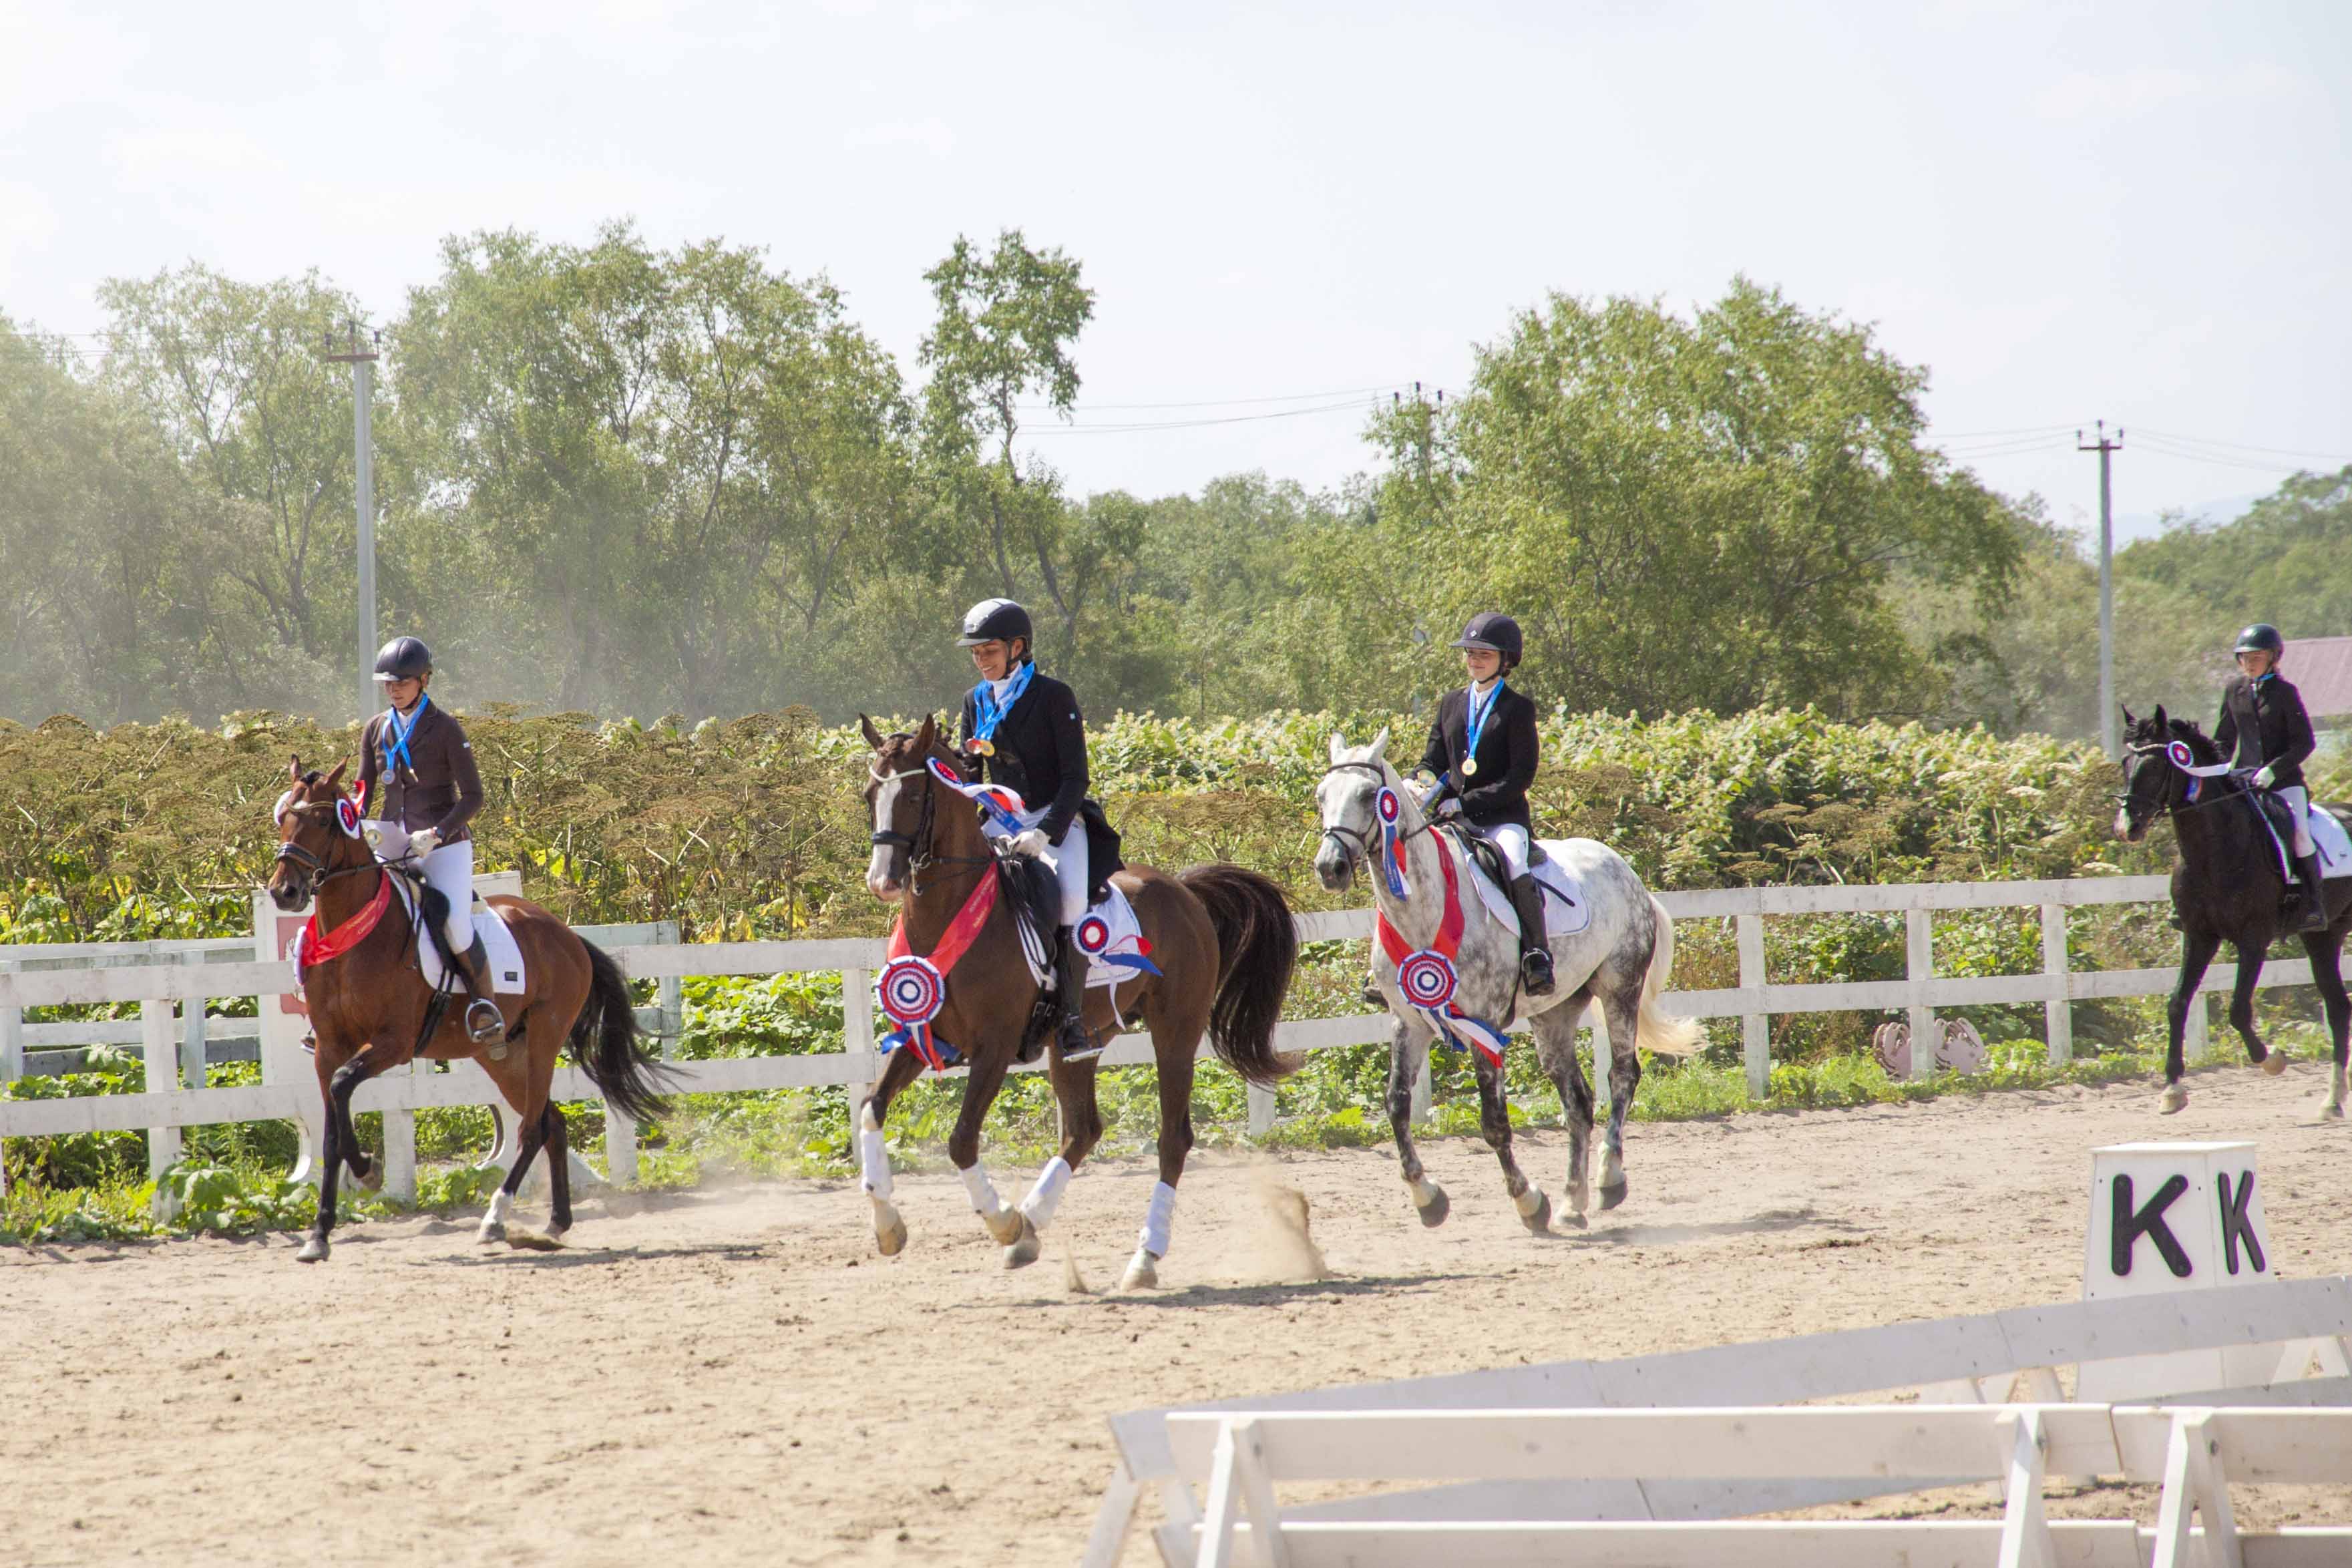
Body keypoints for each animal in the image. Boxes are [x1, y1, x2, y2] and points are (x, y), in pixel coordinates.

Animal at [268, 761, 677, 1259]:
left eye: (325, 819)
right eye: (283, 816)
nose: (284, 892)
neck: (354, 934)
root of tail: (568, 935)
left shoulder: (393, 1043)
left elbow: (345, 1086)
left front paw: (368, 1170)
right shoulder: (328, 1048)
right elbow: (331, 1131)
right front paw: (321, 1232)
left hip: (543, 1041)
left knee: (532, 1129)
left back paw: (496, 1219)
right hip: (501, 1055)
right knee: (553, 1122)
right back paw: (556, 1222)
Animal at [856, 719, 1298, 1298]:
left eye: (911, 796)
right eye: (870, 795)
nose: (883, 882)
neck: (951, 913)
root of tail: (1184, 890)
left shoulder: (994, 1049)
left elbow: (961, 1141)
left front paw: (1000, 1220)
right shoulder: (918, 1038)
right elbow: (871, 1108)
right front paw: (889, 1227)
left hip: (1175, 1032)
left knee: (1172, 1140)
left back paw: (1141, 1258)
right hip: (1079, 1042)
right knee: (1082, 1129)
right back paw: (1031, 1227)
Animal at [1317, 738, 1702, 1241]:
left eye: (1367, 796)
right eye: (1321, 797)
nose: (1330, 867)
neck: (1422, 910)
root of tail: (1625, 869)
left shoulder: (1482, 1025)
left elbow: (1495, 1123)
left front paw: (1528, 1202)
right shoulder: (1409, 1023)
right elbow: (1397, 1107)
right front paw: (1428, 1199)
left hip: (1621, 988)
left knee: (1622, 1076)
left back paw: (1607, 1181)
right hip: (1554, 1013)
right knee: (1578, 1102)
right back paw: (1572, 1203)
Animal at [2116, 705, 2352, 1123]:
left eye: (2157, 765)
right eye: (2126, 763)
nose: (2129, 826)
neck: (2215, 849)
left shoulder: (2253, 939)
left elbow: (2239, 1010)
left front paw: (2271, 1058)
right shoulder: (2199, 936)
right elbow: (2177, 1003)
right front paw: (2172, 1090)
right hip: (2323, 936)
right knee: (2339, 1007)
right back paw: (2332, 1100)